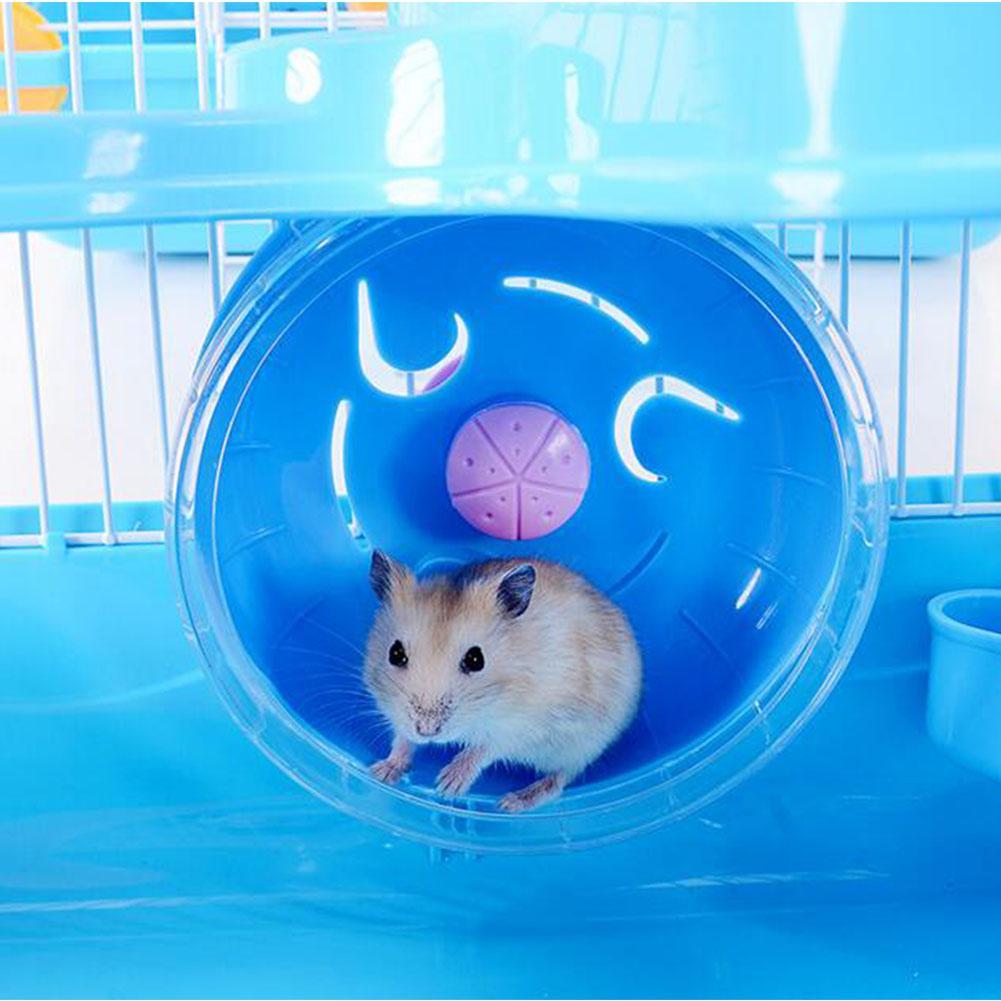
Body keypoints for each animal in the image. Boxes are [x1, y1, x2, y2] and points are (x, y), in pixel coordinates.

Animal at [364, 551, 642, 812]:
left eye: (476, 659)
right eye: (395, 653)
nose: (427, 731)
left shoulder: (518, 726)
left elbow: (484, 749)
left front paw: (447, 785)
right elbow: (402, 738)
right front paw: (381, 773)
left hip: (584, 745)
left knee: (559, 780)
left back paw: (511, 803)